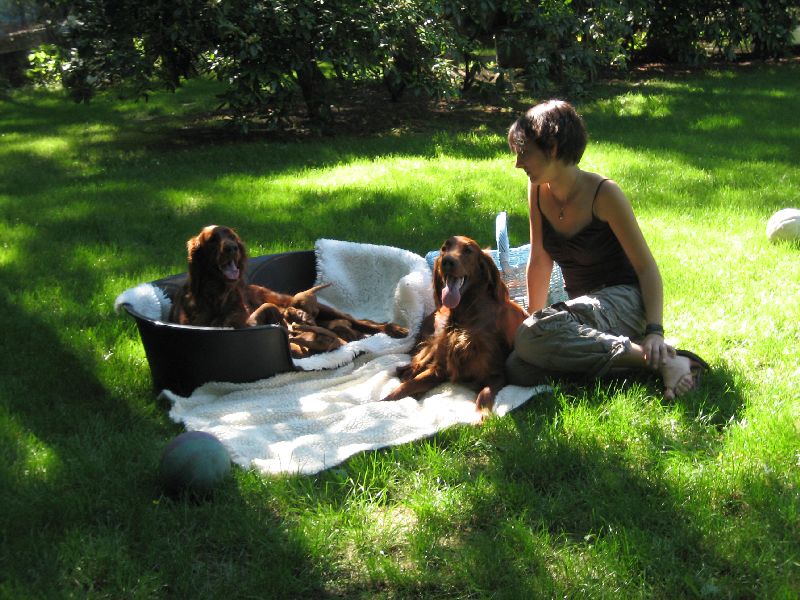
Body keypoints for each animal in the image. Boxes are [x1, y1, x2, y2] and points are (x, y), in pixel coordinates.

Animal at [170, 225, 408, 356]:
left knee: (364, 322)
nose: (232, 248)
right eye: (213, 240)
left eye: (232, 237)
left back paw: (395, 329)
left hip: (321, 309)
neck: (217, 296)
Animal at [381, 235, 528, 416]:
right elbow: (406, 387)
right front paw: (380, 403)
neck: (466, 316)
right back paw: (406, 372)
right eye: (444, 248)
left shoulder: (497, 375)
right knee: (417, 362)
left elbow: (483, 395)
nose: (447, 262)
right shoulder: (440, 368)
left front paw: (483, 416)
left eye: (468, 250)